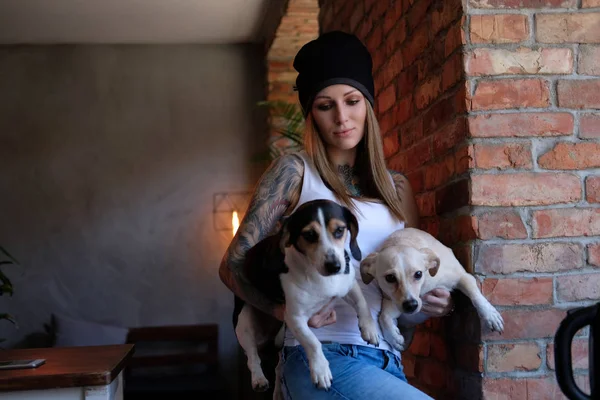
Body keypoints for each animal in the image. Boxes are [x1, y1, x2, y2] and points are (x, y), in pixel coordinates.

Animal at [232, 198, 378, 392]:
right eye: (309, 235)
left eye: (340, 230)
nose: (334, 266)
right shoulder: (294, 317)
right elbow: (312, 342)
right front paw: (320, 369)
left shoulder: (349, 284)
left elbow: (362, 303)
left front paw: (369, 329)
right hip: (244, 322)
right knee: (252, 357)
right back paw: (259, 379)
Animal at [358, 227, 504, 352]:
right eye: (390, 278)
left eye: (418, 274)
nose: (411, 306)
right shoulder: (393, 302)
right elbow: (384, 316)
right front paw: (393, 337)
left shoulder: (462, 277)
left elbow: (476, 296)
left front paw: (490, 315)